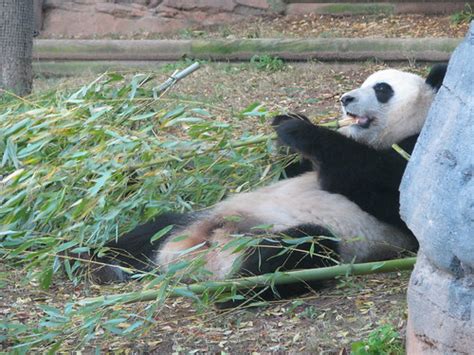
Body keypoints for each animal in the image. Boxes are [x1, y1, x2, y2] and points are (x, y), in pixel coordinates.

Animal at [90, 64, 448, 300]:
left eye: (382, 89)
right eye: (365, 82)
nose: (346, 99)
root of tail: (198, 258)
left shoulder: (420, 152)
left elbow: (386, 192)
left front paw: (300, 130)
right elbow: (293, 171)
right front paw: (286, 127)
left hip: (307, 243)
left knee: (300, 248)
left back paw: (233, 287)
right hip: (196, 218)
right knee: (149, 230)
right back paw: (103, 262)